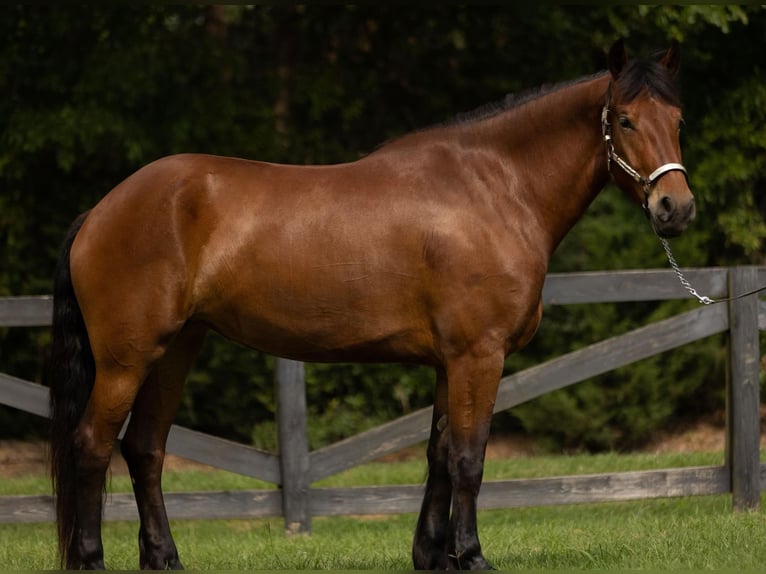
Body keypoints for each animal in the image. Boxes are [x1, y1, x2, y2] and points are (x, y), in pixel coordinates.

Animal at [48, 40, 696, 572]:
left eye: (677, 120)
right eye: (625, 120)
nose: (675, 207)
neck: (491, 189)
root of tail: (101, 210)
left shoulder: (449, 361)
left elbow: (439, 454)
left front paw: (432, 556)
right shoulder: (478, 355)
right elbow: (470, 457)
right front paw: (472, 557)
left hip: (174, 350)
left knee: (144, 449)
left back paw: (165, 559)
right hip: (127, 359)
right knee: (91, 446)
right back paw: (91, 559)